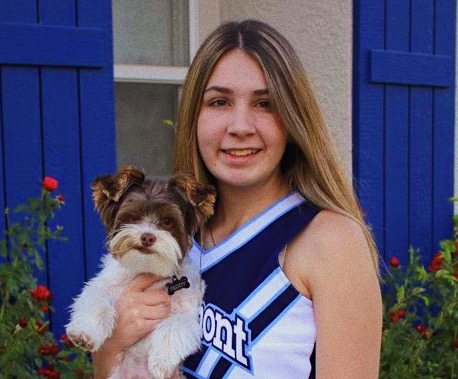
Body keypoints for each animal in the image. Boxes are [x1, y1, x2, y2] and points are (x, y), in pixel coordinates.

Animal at [65, 166, 216, 379]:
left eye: (167, 221)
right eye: (133, 217)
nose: (147, 237)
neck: (147, 268)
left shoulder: (188, 311)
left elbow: (175, 325)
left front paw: (161, 363)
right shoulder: (104, 284)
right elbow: (96, 298)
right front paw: (84, 333)